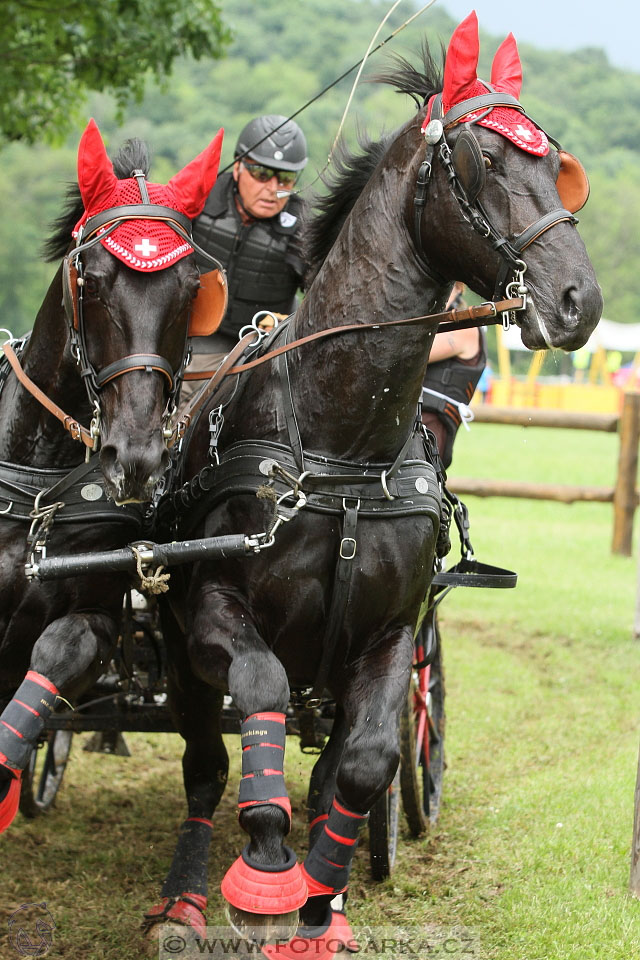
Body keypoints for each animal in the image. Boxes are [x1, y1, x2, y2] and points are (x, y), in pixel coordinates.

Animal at [0, 118, 225, 832]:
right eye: (92, 280)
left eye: (192, 288)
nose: (137, 455)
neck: (36, 495)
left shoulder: (92, 616)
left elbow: (57, 654)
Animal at [149, 13, 600, 952]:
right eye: (486, 160)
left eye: (556, 160)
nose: (580, 299)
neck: (342, 452)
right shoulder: (214, 611)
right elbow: (261, 693)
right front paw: (267, 871)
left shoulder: (389, 634)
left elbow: (361, 765)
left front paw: (322, 904)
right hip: (173, 640)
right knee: (204, 765)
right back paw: (183, 892)